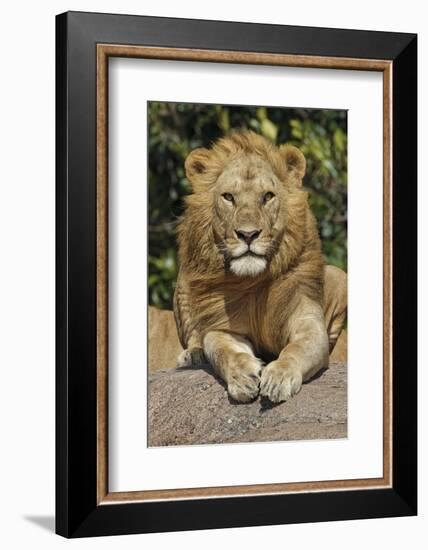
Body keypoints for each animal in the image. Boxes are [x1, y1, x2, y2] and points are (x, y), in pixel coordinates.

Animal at [172, 131, 346, 404]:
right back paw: (193, 355)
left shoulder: (307, 323)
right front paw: (242, 376)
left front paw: (279, 377)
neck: (252, 281)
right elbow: (223, 351)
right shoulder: (222, 328)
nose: (248, 234)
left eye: (267, 196)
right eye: (228, 197)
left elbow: (296, 349)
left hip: (339, 276)